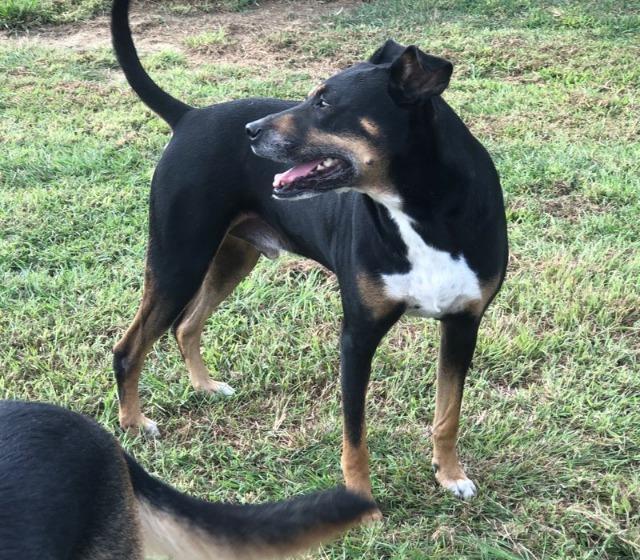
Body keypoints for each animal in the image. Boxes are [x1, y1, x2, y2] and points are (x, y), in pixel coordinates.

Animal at [112, 0, 508, 506]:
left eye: (324, 102)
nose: (250, 131)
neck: (424, 212)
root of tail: (189, 116)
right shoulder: (358, 335)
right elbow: (355, 436)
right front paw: (361, 503)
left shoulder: (463, 324)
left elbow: (448, 413)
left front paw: (450, 474)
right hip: (179, 259)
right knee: (129, 348)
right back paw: (133, 423)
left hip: (230, 259)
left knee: (185, 326)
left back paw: (204, 387)